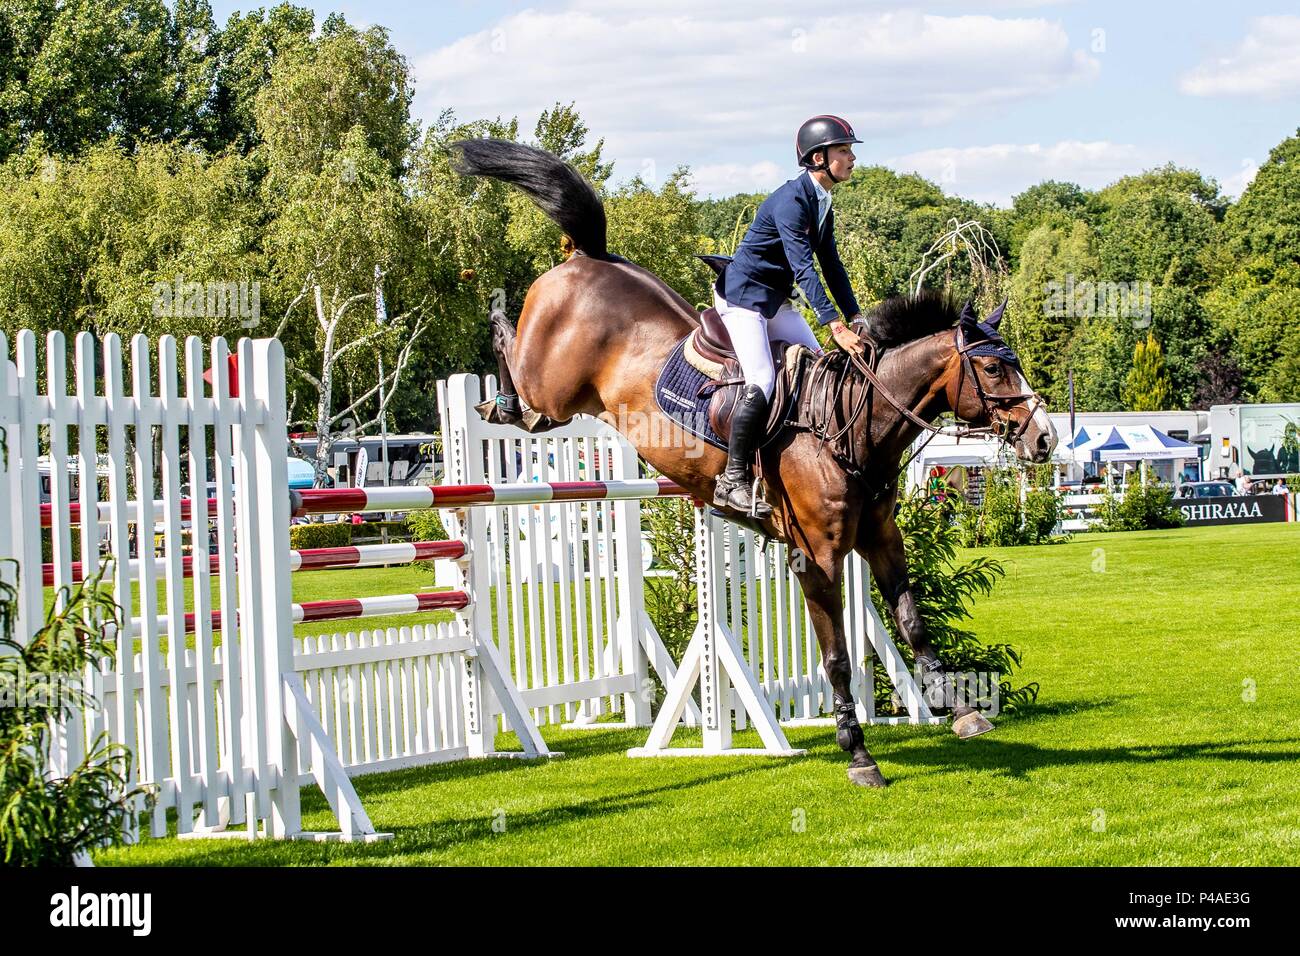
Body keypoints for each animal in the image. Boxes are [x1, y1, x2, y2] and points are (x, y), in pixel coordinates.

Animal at [449, 140, 1055, 785]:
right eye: (991, 368)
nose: (1044, 440)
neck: (849, 422)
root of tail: (589, 258)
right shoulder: (817, 558)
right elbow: (838, 657)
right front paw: (858, 751)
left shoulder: (881, 537)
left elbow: (911, 620)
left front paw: (957, 708)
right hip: (552, 387)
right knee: (509, 353)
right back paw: (492, 369)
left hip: (565, 409)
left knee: (533, 412)